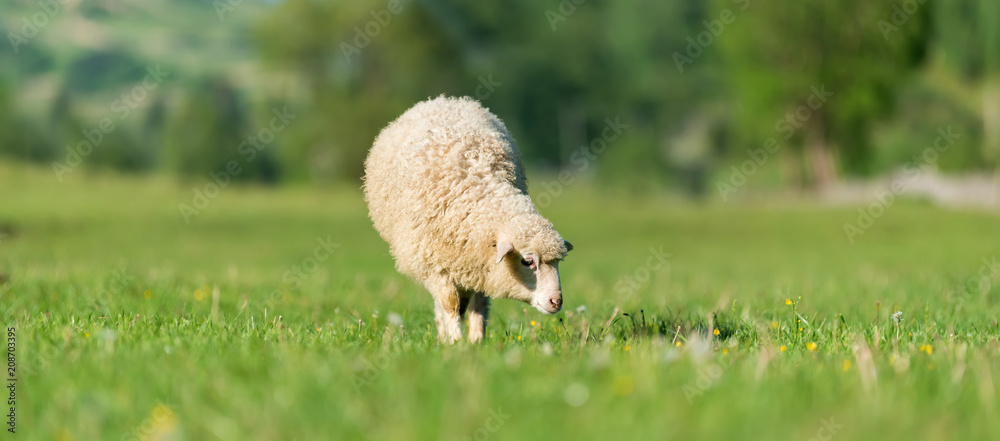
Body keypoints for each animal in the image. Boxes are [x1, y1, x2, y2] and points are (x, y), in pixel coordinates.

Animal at [363, 96, 573, 343]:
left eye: (558, 262)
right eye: (528, 261)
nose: (556, 302)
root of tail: (444, 100)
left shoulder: (480, 263)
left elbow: (479, 305)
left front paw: (476, 340)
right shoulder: (437, 265)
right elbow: (451, 304)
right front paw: (455, 341)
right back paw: (443, 336)